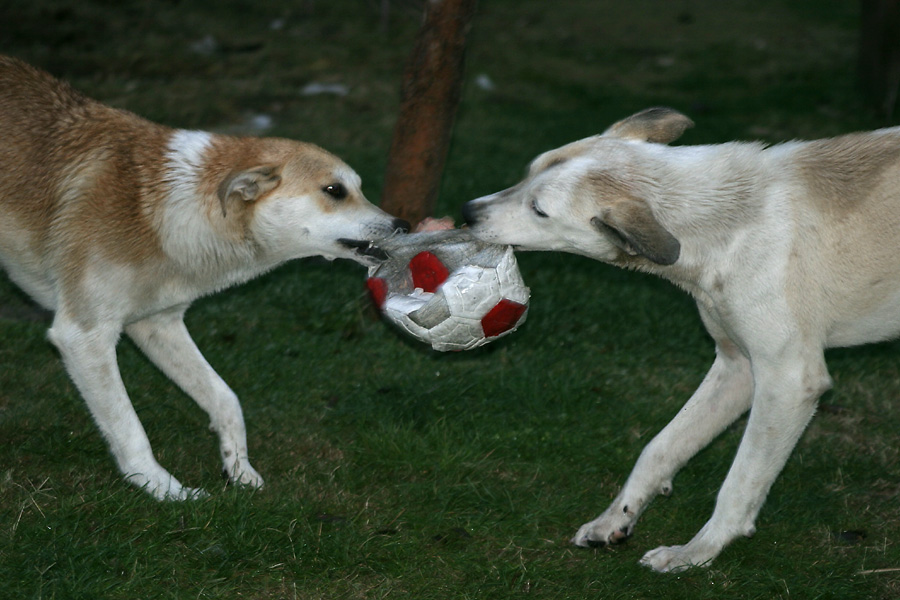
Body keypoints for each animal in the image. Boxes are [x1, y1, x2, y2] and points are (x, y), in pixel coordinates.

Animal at [0, 56, 408, 500]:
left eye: (359, 189)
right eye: (335, 191)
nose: (403, 225)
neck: (161, 210)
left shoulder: (158, 324)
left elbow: (225, 398)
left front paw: (240, 469)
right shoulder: (83, 336)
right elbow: (130, 428)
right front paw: (166, 492)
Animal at [460, 108, 900, 572]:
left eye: (538, 209)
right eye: (528, 172)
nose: (466, 211)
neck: (727, 219)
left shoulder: (789, 382)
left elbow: (739, 483)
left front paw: (696, 552)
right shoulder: (737, 367)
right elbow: (659, 448)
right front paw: (615, 519)